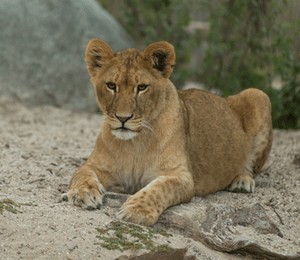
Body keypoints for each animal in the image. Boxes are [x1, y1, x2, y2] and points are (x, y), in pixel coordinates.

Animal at [63, 39, 272, 225]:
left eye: (141, 87)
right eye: (111, 86)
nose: (123, 118)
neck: (135, 142)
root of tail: (224, 99)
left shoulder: (182, 177)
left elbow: (161, 188)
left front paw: (137, 211)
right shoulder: (96, 166)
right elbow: (81, 174)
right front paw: (84, 194)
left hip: (258, 95)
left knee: (252, 167)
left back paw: (242, 182)